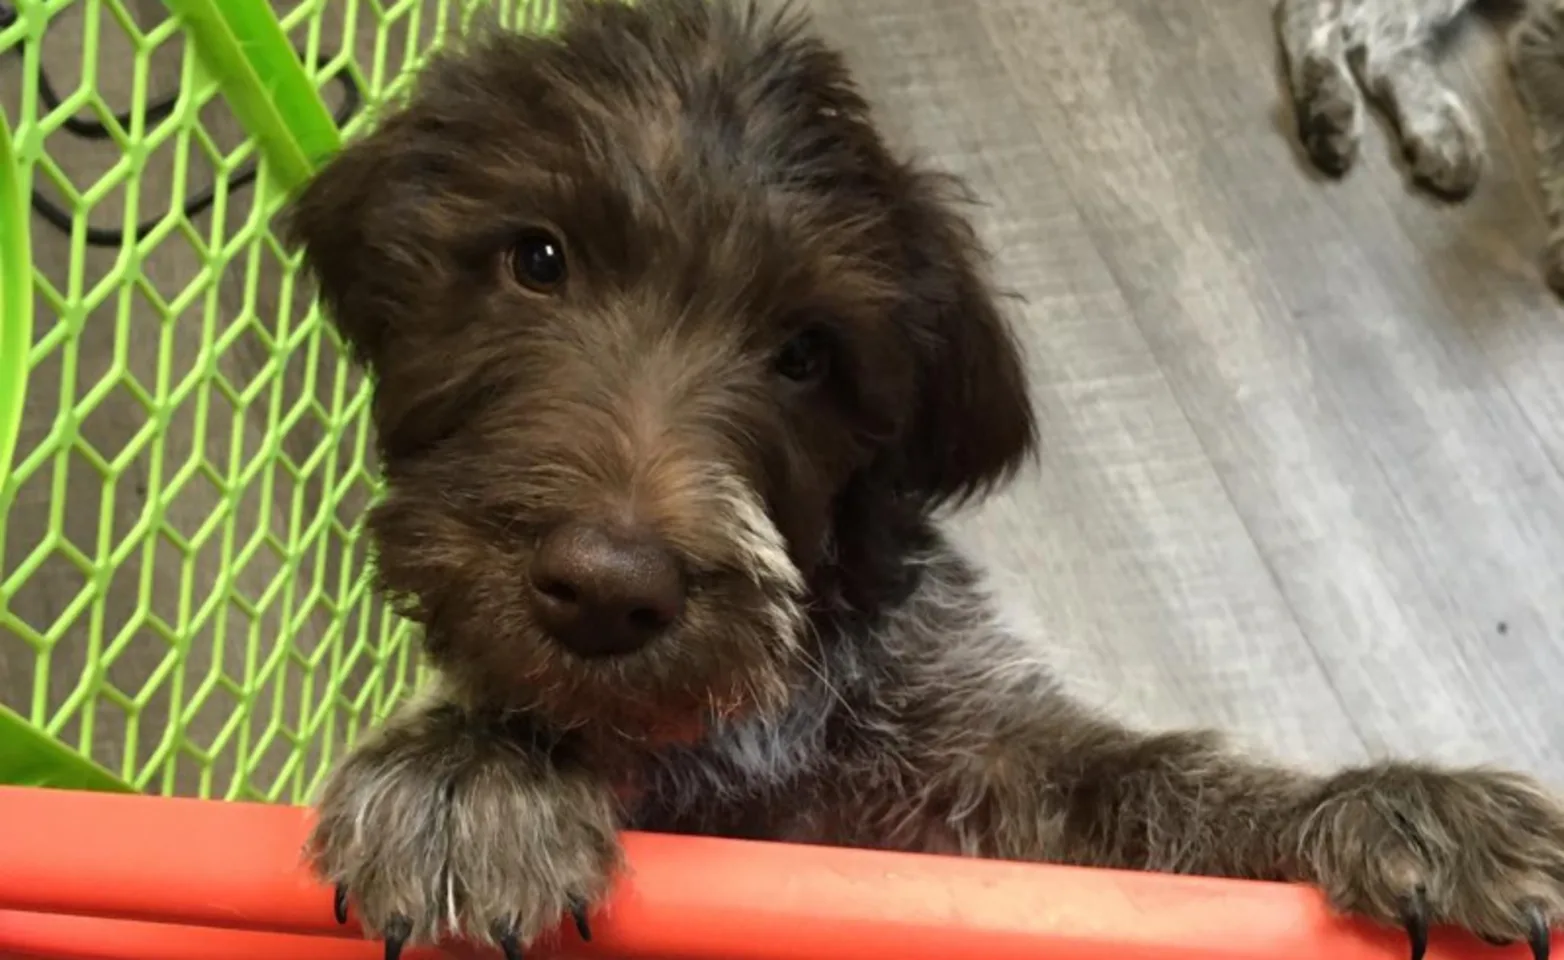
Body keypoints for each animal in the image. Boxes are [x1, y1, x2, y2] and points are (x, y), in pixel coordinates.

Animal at [287, 1, 1564, 960]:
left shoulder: (985, 779)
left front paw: (1387, 804)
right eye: (536, 259)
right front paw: (470, 766)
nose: (606, 590)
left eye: (807, 356)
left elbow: (1156, 787)